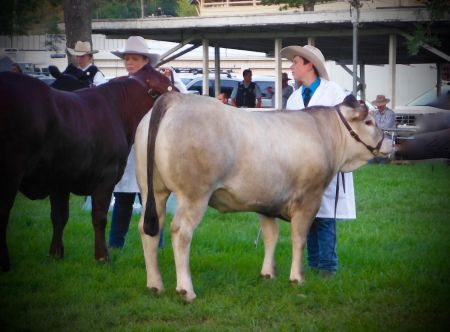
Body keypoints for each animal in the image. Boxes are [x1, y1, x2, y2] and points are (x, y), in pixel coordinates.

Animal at [134, 92, 394, 302]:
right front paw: (297, 278)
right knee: (180, 232)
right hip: (194, 194)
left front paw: (268, 274)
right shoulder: (310, 198)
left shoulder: (266, 201)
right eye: (369, 122)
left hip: (152, 190)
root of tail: (174, 98)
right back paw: (186, 290)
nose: (391, 143)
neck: (323, 133)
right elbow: (299, 238)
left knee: (149, 230)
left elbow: (271, 236)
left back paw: (155, 286)